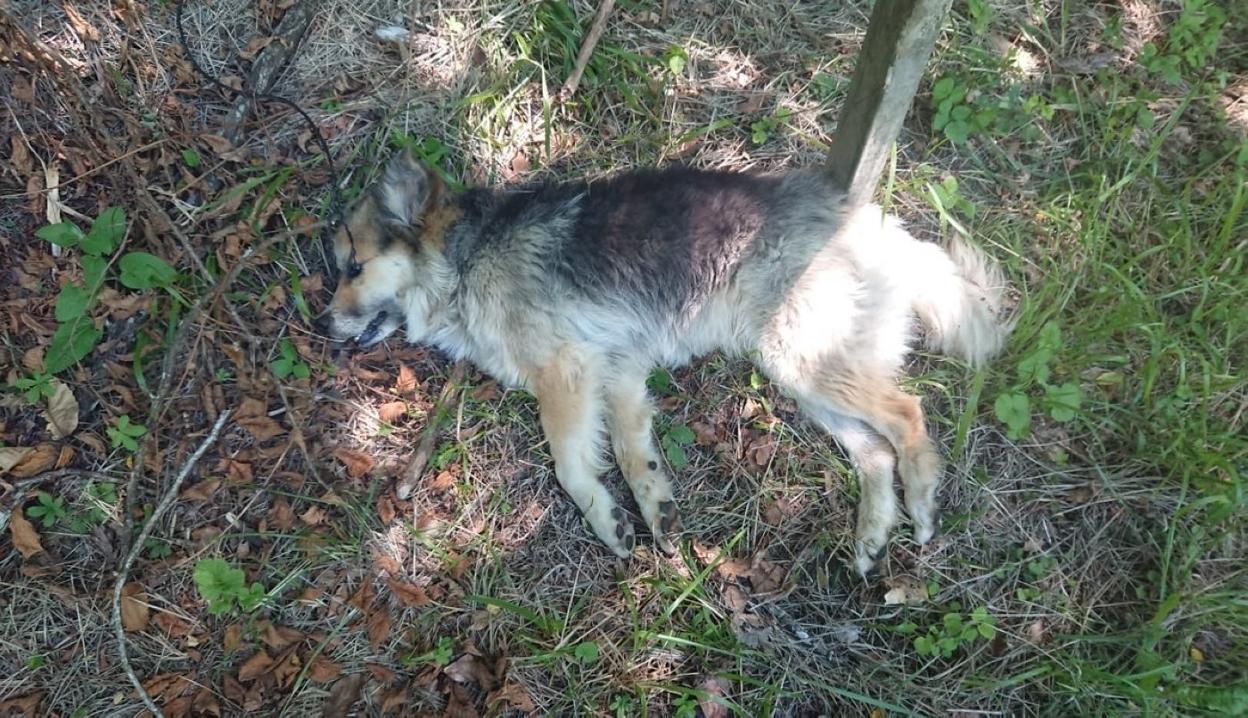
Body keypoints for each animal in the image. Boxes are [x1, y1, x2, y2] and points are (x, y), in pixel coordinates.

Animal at [318, 150, 1011, 575]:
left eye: (354, 267)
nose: (325, 327)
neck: (465, 259)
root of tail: (865, 221)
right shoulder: (619, 372)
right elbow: (633, 454)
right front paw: (655, 509)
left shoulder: (565, 373)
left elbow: (572, 467)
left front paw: (607, 521)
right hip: (805, 375)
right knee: (875, 453)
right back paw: (870, 537)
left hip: (805, 356)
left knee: (908, 415)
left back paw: (923, 506)